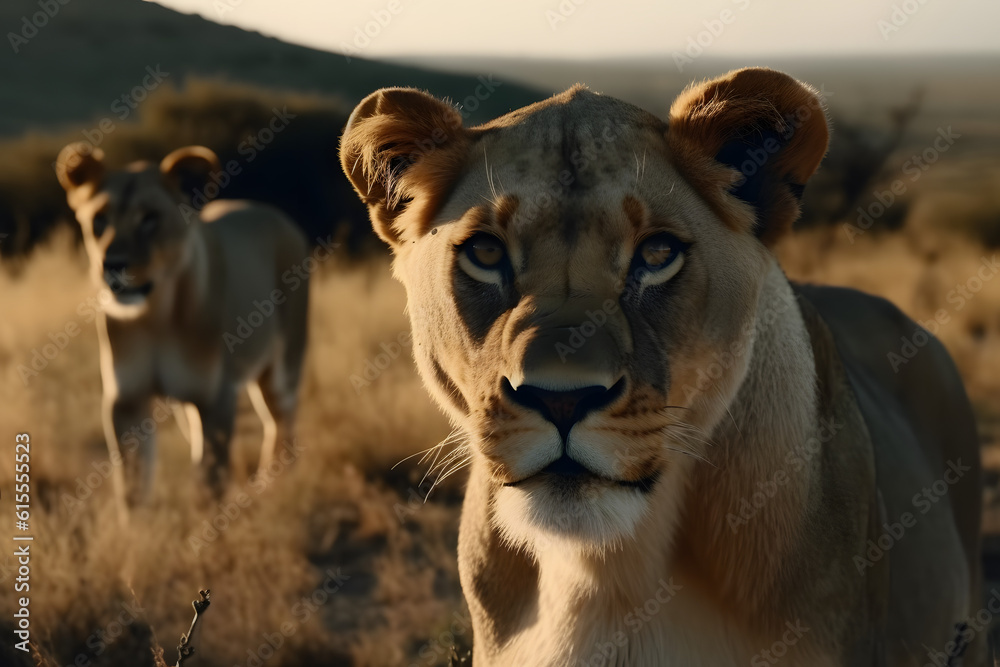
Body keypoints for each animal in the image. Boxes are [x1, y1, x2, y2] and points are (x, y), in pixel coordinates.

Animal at [56, 143, 310, 520]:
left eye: (150, 218)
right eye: (99, 219)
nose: (112, 265)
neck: (156, 316)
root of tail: (275, 214)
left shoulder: (216, 398)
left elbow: (209, 483)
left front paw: (207, 529)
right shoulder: (126, 400)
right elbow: (132, 486)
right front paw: (138, 534)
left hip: (283, 365)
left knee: (282, 423)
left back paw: (275, 485)